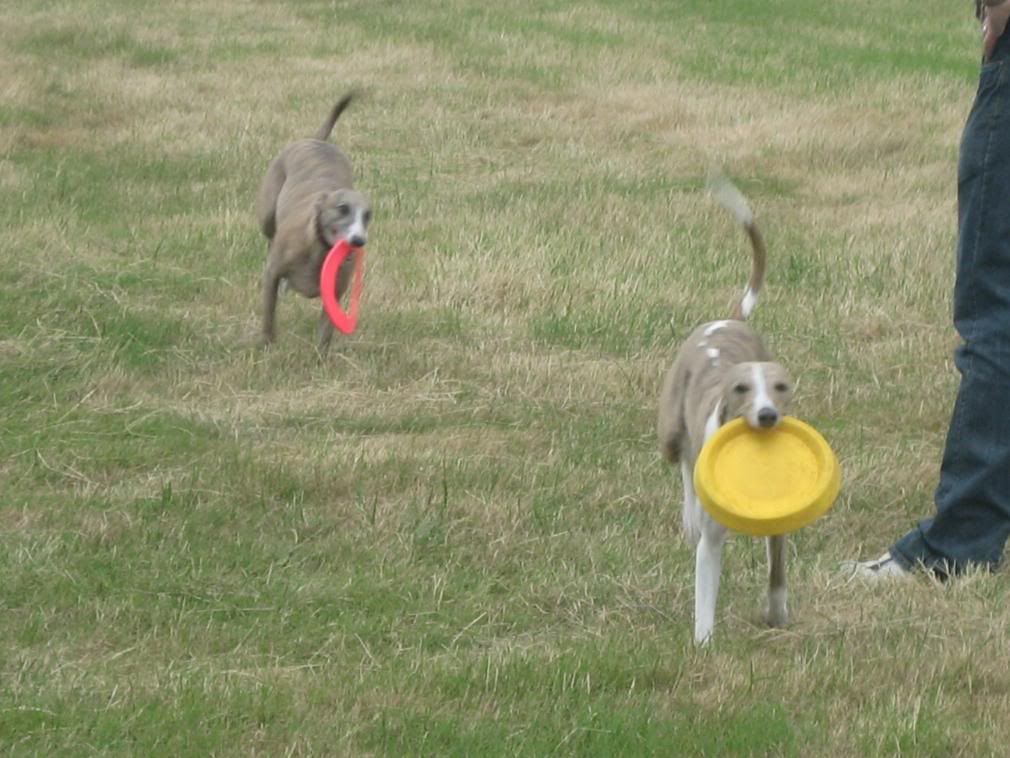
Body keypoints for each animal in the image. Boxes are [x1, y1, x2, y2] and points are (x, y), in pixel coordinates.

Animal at [254, 93, 373, 351]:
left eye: (368, 215)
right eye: (342, 208)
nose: (358, 241)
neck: (318, 250)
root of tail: (316, 140)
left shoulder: (335, 293)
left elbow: (325, 332)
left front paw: (320, 358)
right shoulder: (272, 273)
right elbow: (268, 314)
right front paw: (266, 344)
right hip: (267, 215)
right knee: (269, 238)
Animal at [654, 176, 795, 646]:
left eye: (781, 387)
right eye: (740, 389)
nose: (767, 416)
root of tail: (728, 319)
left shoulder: (779, 529)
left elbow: (776, 577)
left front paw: (776, 614)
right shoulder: (713, 543)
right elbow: (704, 596)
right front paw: (703, 644)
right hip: (669, 431)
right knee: (682, 463)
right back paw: (689, 516)